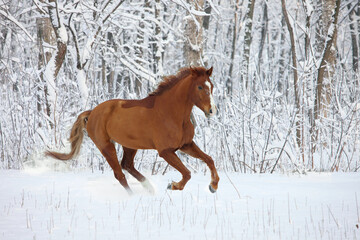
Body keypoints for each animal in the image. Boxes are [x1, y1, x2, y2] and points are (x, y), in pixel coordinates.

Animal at [45, 66, 219, 195]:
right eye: (200, 86)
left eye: (211, 86)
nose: (212, 111)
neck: (171, 114)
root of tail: (92, 112)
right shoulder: (166, 151)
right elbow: (187, 173)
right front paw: (173, 185)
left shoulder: (186, 145)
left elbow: (209, 159)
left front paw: (213, 186)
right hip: (106, 146)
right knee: (120, 174)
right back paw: (133, 195)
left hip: (130, 146)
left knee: (127, 165)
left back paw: (149, 188)